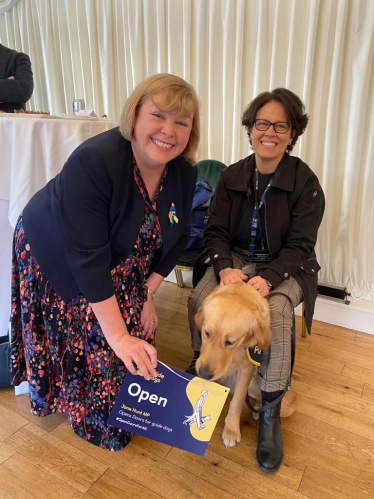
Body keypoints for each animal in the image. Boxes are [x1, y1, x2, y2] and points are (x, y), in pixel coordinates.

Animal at [194, 282, 296, 450]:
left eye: (230, 342)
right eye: (206, 333)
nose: (204, 373)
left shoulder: (246, 369)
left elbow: (237, 401)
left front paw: (231, 430)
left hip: (256, 384)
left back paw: (259, 409)